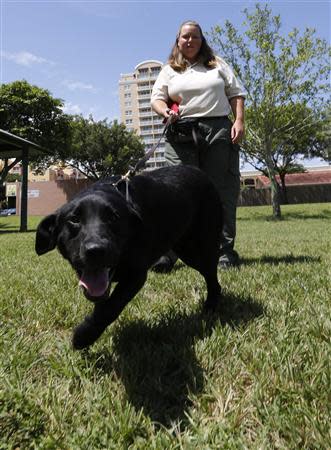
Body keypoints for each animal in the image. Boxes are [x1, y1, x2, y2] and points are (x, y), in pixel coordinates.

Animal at [35, 165, 223, 348]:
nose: (96, 250)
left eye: (113, 217)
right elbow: (104, 304)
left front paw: (84, 336)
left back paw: (211, 307)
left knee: (213, 279)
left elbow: (111, 307)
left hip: (198, 250)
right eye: (74, 219)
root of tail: (200, 172)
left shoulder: (136, 274)